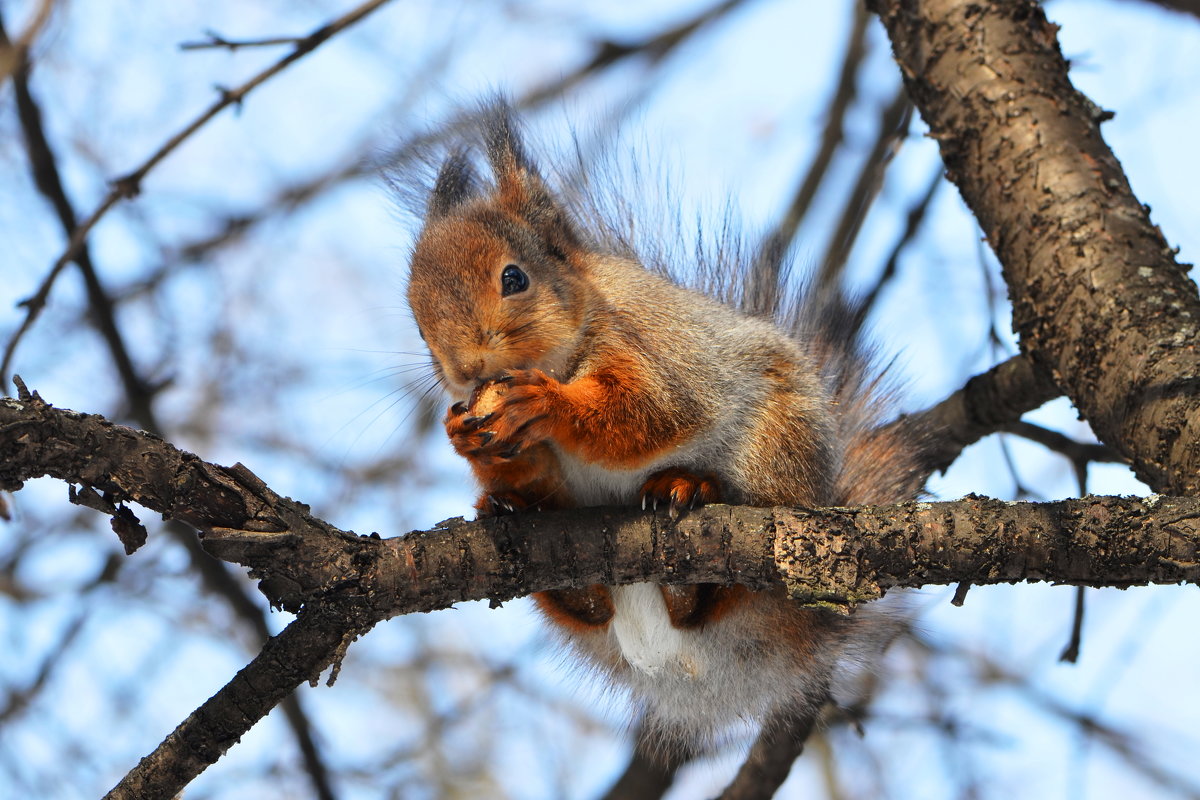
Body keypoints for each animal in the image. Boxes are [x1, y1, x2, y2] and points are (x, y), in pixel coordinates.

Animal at [403, 100, 926, 753]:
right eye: (414, 315)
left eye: (514, 278)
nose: (466, 369)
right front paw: (469, 441)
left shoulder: (652, 350)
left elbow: (651, 411)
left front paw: (547, 403)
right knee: (593, 609)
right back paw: (517, 517)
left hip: (776, 456)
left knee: (739, 577)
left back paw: (691, 497)